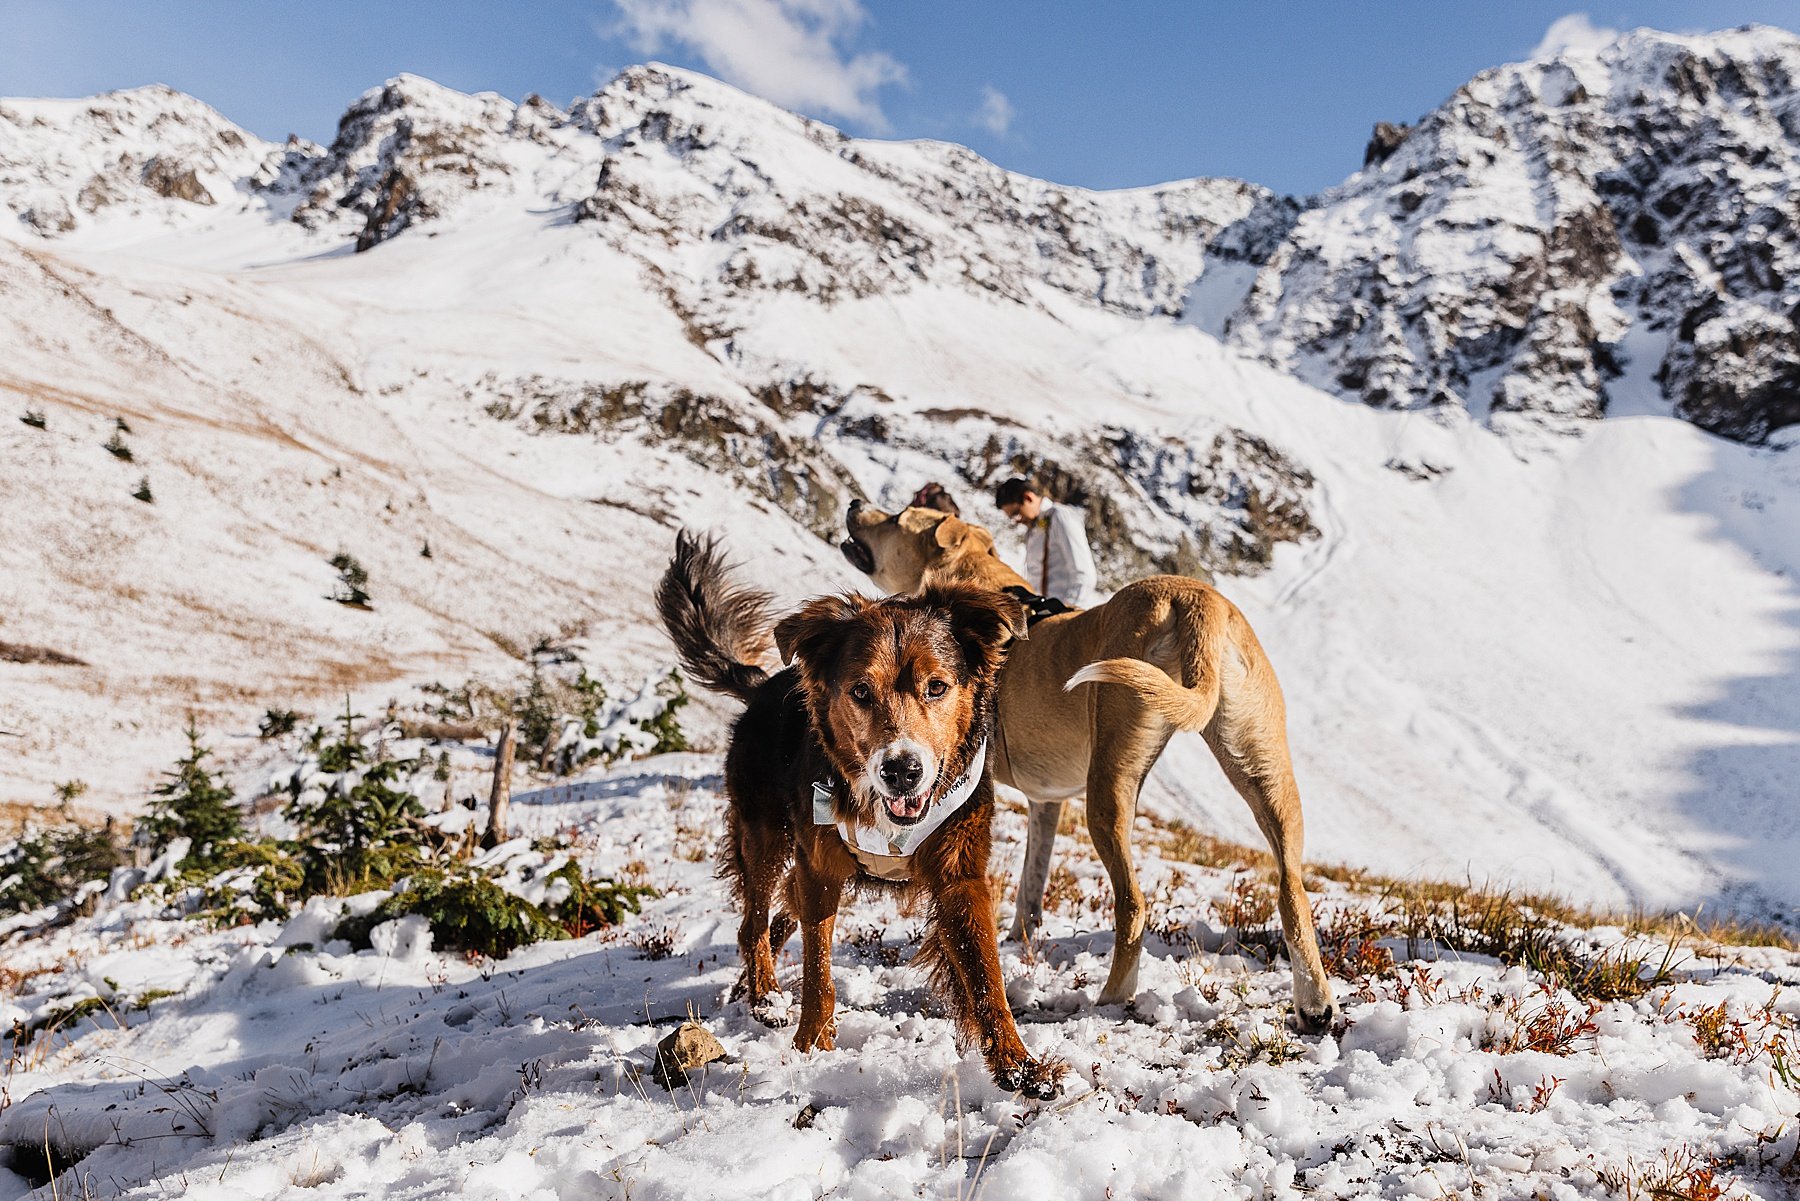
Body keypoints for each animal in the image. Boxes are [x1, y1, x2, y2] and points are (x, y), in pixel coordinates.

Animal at [658, 536, 1051, 1101]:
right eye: (860, 692)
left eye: (937, 687)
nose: (902, 771)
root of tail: (762, 686)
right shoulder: (820, 869)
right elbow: (819, 973)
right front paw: (811, 1047)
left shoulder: (960, 875)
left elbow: (985, 978)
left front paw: (1019, 1066)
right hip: (765, 837)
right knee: (753, 923)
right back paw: (764, 996)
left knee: (780, 915)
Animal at [842, 496, 1339, 1037]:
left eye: (897, 516)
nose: (855, 503)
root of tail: (1193, 598)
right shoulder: (1046, 801)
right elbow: (1032, 881)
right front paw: (1020, 939)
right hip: (1261, 764)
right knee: (1292, 889)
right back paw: (1315, 1005)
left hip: (1111, 781)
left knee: (1133, 903)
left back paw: (1112, 998)